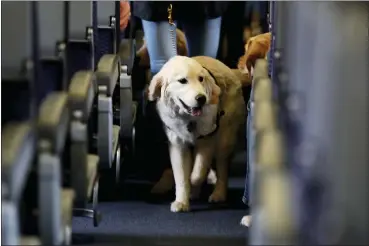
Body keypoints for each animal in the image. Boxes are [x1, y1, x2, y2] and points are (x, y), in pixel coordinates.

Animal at [147, 55, 247, 211]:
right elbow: (181, 176)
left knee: (222, 168)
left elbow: (198, 172)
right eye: (182, 80)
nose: (202, 98)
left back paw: (218, 194)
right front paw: (181, 202)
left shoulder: (206, 141)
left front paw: (194, 183)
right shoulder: (178, 145)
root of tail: (229, 70)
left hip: (224, 139)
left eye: (201, 79)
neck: (189, 119)